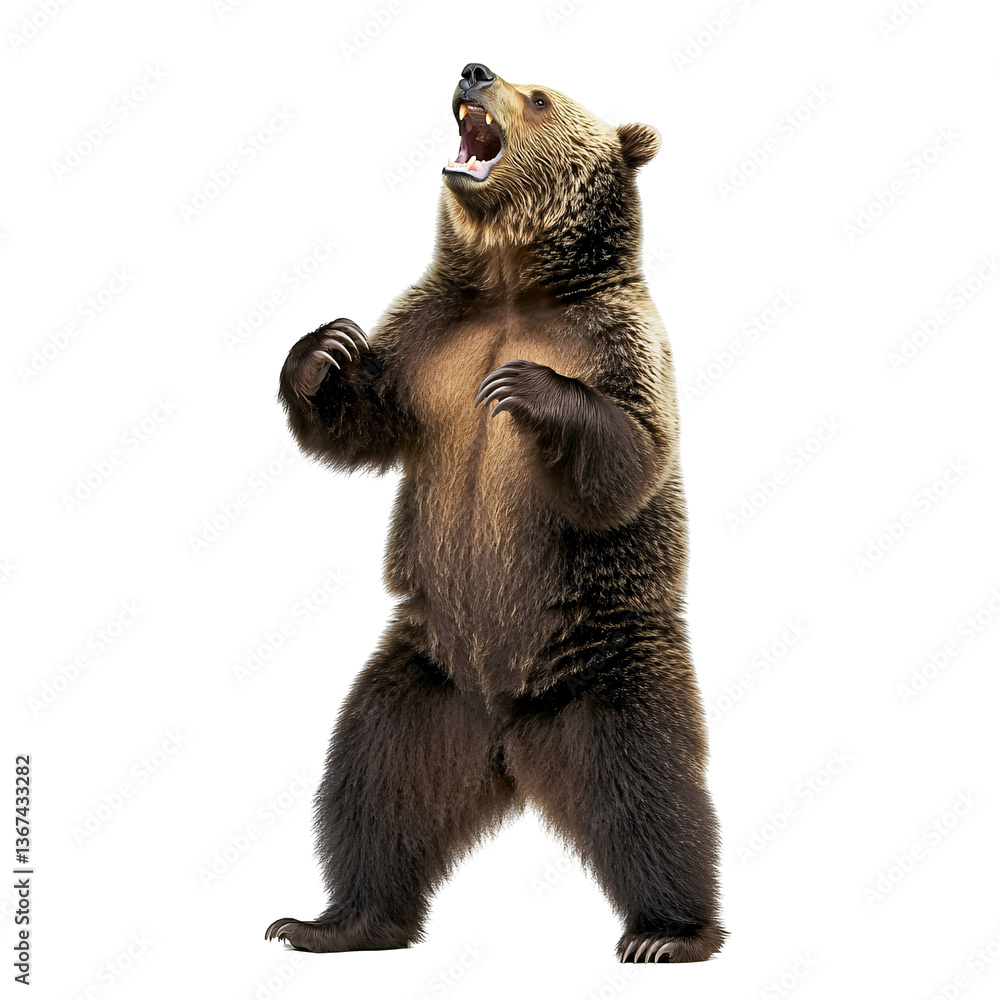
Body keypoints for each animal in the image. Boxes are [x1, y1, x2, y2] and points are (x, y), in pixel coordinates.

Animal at [264, 63, 726, 964]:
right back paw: (334, 921)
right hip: (422, 680)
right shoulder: (427, 341)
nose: (474, 69)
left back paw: (669, 932)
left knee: (652, 791)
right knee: (373, 785)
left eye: (541, 95)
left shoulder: (619, 340)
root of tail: (508, 742)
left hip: (607, 667)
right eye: (499, 74)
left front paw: (530, 389)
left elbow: (632, 456)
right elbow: (364, 421)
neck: (514, 287)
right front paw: (321, 352)